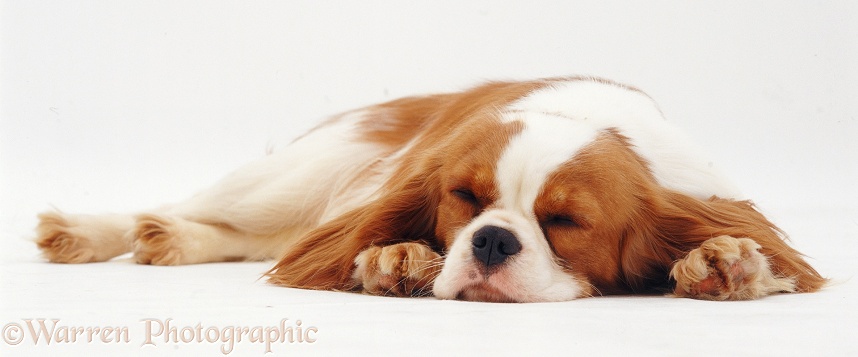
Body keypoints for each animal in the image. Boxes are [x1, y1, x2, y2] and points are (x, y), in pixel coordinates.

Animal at [33, 76, 824, 300]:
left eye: (565, 222)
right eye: (466, 202)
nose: (493, 240)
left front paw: (726, 261)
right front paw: (398, 259)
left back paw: (168, 242)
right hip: (284, 179)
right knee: (187, 206)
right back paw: (98, 231)